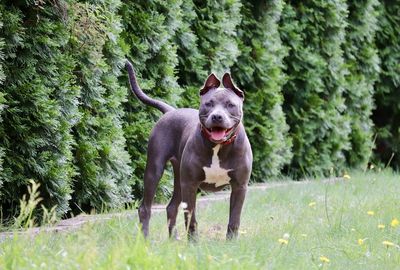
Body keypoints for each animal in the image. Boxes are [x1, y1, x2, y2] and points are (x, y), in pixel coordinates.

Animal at [125, 61, 252, 240]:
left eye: (230, 105)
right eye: (209, 103)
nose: (217, 117)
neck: (218, 146)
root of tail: (171, 110)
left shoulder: (239, 186)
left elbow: (234, 218)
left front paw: (231, 242)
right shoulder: (190, 184)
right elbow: (191, 217)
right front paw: (193, 242)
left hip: (179, 177)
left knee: (171, 207)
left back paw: (173, 240)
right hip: (155, 169)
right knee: (145, 207)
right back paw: (145, 238)